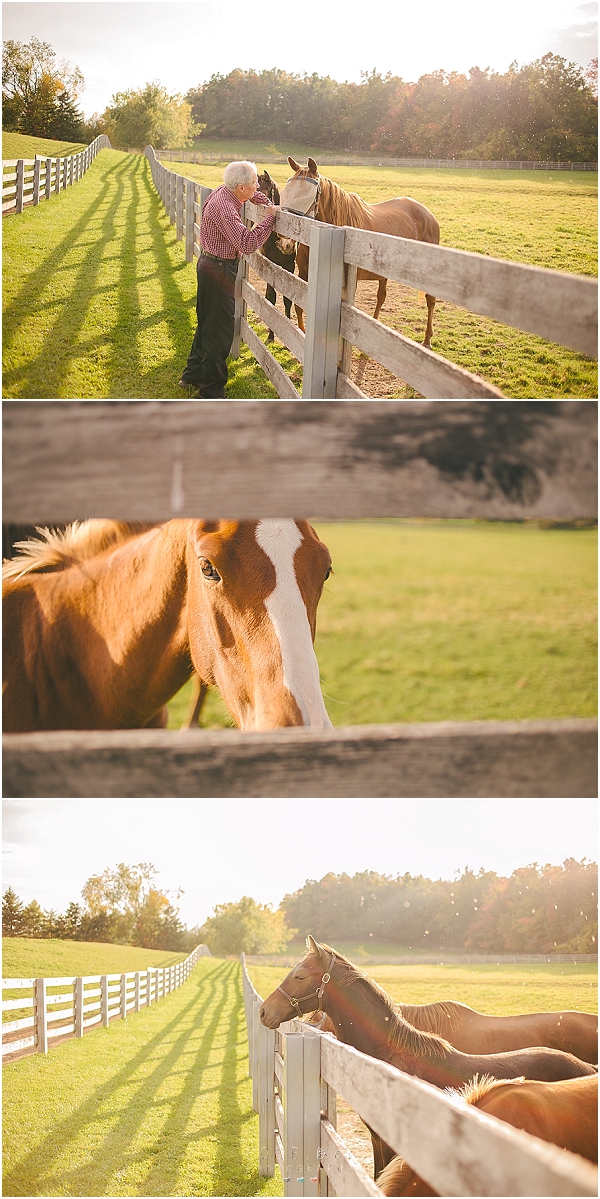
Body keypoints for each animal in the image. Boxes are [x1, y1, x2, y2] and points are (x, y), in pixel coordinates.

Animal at [277, 158, 441, 347]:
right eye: (286, 190)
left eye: (306, 195)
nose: (285, 239)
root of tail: (428, 215)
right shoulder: (304, 273)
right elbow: (299, 304)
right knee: (381, 297)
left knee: (430, 301)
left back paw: (427, 340)